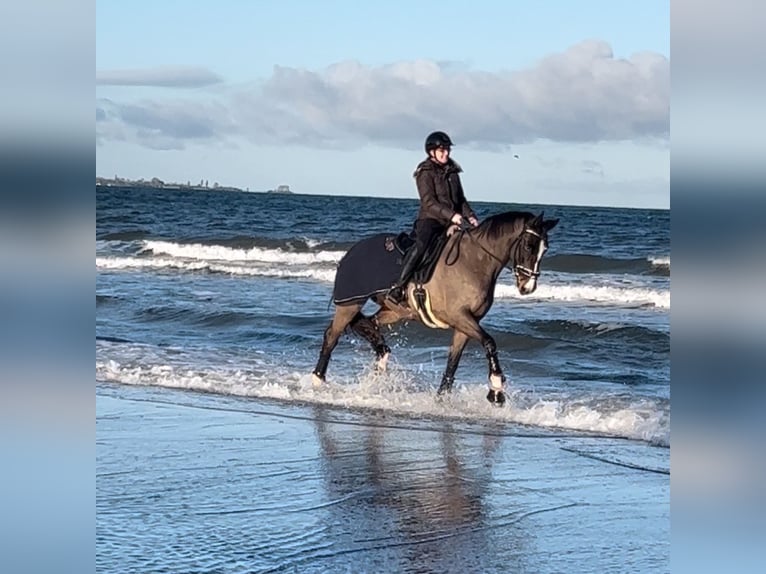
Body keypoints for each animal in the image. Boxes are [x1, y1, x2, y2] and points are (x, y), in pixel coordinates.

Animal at [311, 211, 559, 405]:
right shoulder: (459, 316)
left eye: (545, 249)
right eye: (529, 245)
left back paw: (380, 360)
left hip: (394, 311)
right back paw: (317, 379)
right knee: (332, 335)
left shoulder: (466, 324)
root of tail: (350, 251)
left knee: (369, 324)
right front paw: (496, 389)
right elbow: (490, 342)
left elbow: (453, 361)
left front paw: (442, 398)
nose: (528, 287)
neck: (474, 262)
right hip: (350, 303)